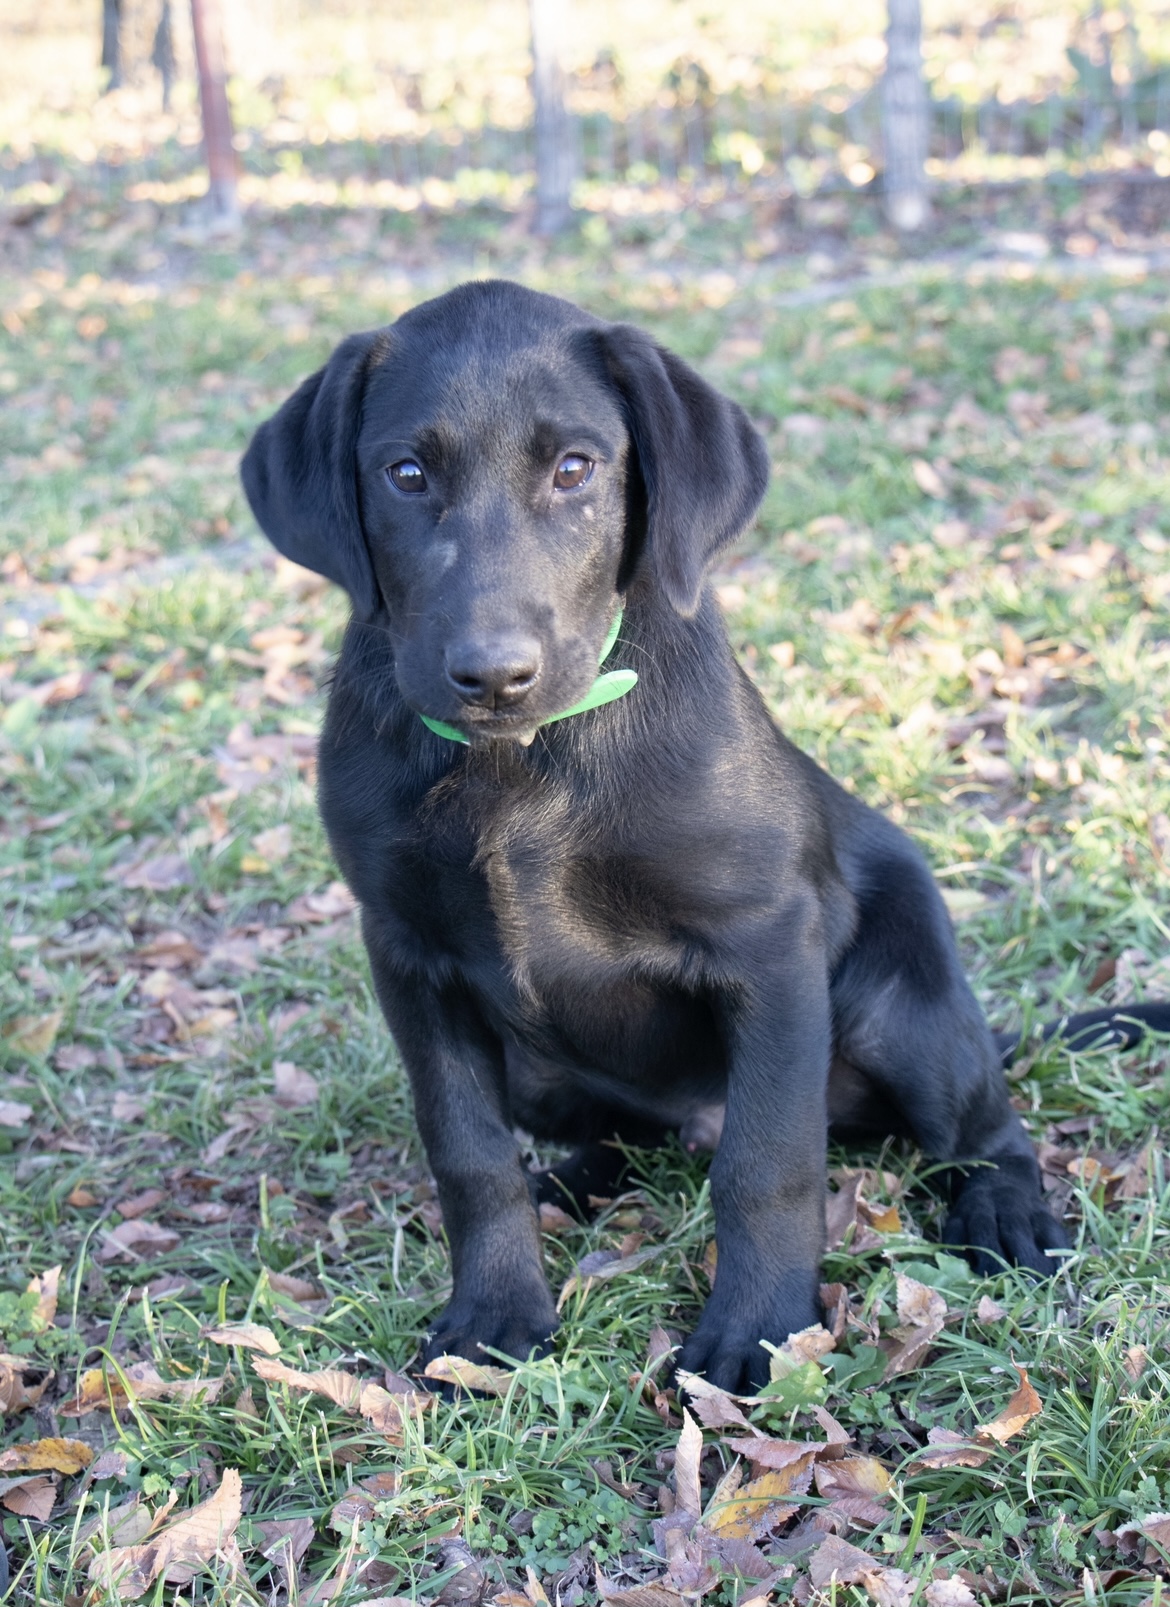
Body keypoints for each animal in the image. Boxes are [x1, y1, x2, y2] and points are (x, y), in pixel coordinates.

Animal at [239, 279, 1170, 1394]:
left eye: (575, 468)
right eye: (407, 474)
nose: (493, 673)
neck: (523, 765)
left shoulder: (767, 944)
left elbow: (768, 1162)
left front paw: (758, 1330)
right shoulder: (408, 955)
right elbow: (468, 1154)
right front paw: (494, 1312)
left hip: (906, 1003)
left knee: (983, 1123)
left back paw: (1004, 1211)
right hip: (543, 1070)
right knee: (617, 1138)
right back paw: (571, 1182)